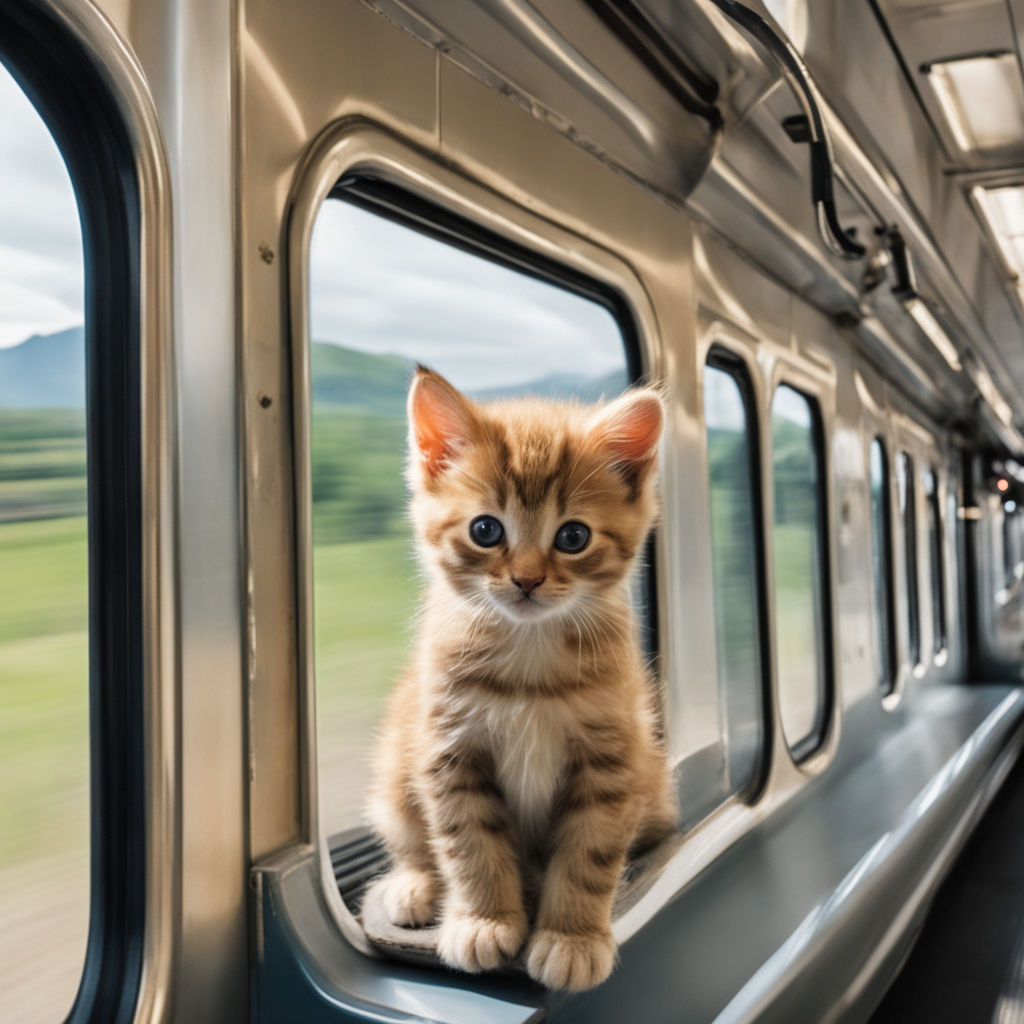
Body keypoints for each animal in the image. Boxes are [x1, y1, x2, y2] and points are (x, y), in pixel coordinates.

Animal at [368, 366, 679, 991]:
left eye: (573, 537)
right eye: (486, 530)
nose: (528, 580)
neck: (529, 657)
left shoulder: (612, 760)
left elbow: (589, 855)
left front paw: (572, 936)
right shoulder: (448, 751)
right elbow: (469, 845)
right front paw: (484, 920)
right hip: (395, 764)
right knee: (413, 836)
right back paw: (415, 883)